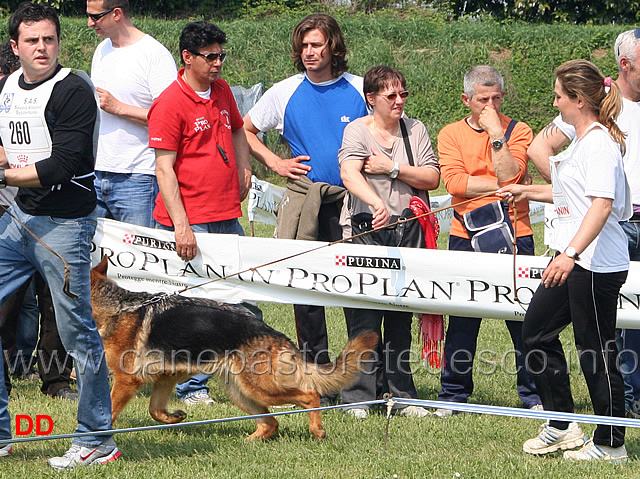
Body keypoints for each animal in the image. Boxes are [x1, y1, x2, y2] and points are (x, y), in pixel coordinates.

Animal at [91, 256, 380, 440]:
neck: (118, 308)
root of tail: (274, 334)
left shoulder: (126, 380)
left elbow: (111, 411)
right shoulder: (165, 379)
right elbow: (155, 410)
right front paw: (175, 417)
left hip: (260, 388)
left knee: (309, 395)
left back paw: (317, 430)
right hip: (241, 392)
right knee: (271, 422)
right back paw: (249, 441)